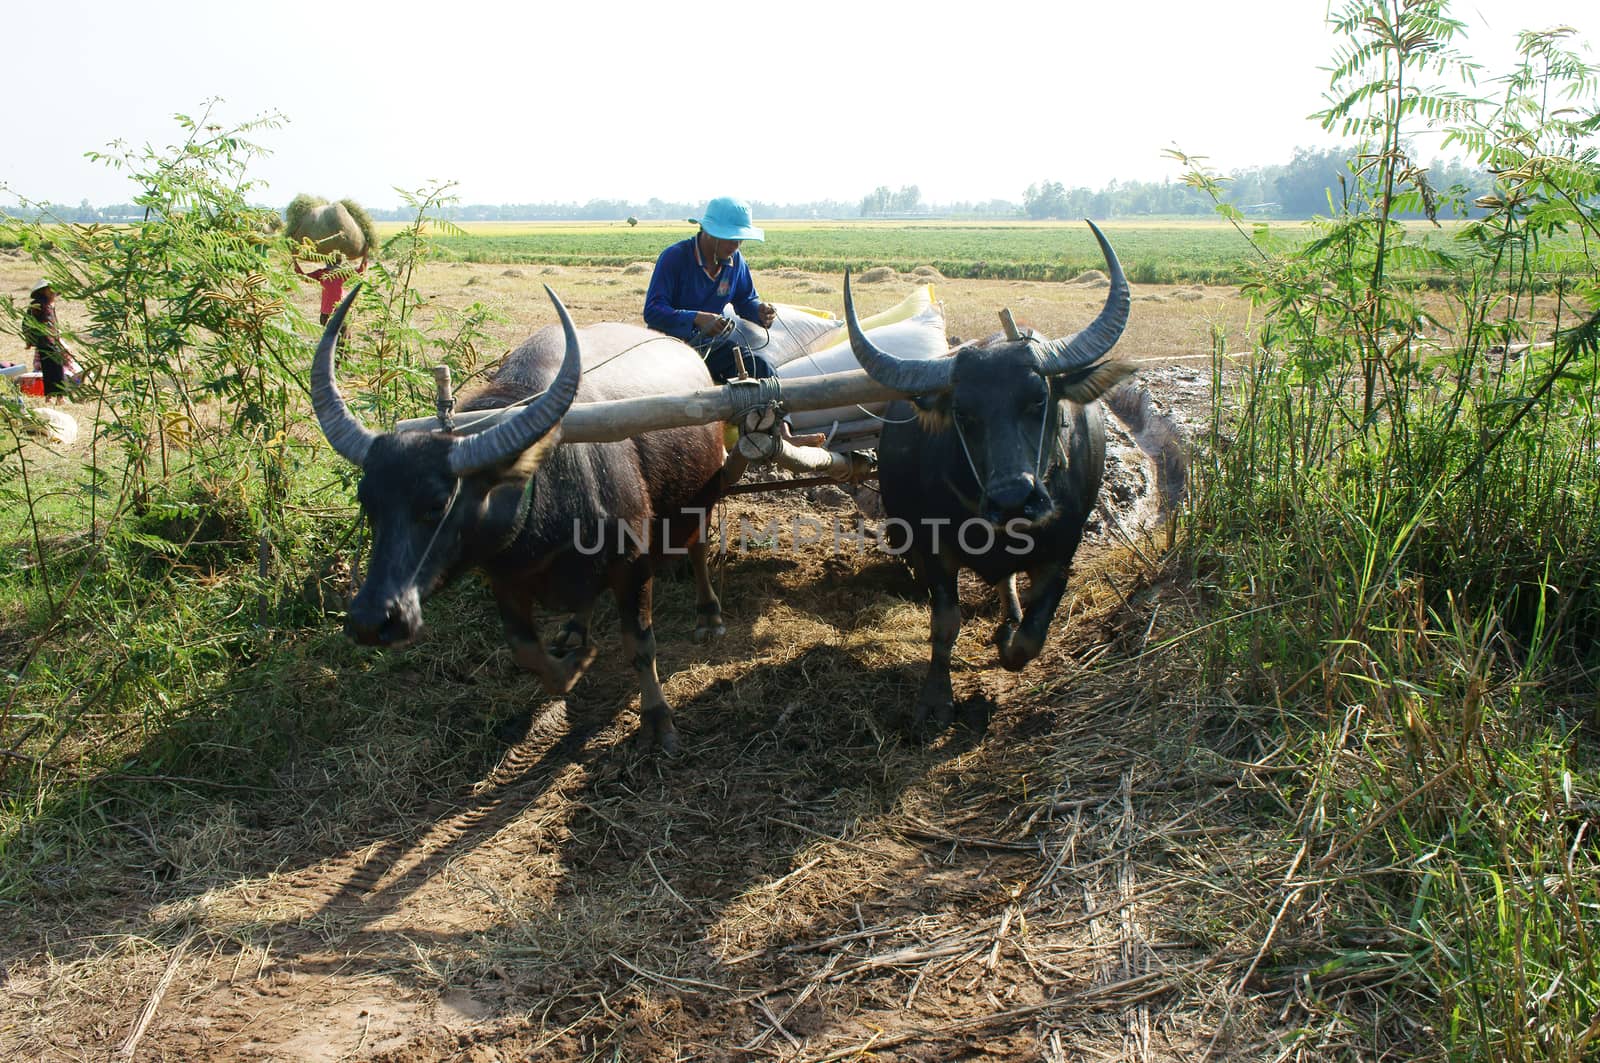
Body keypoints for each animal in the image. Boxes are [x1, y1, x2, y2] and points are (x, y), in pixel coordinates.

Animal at [312, 284, 726, 746]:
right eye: (368, 502)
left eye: (438, 504)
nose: (370, 620)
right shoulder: (505, 579)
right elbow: (524, 649)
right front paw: (573, 665)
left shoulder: (632, 565)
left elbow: (639, 644)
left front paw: (656, 717)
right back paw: (575, 630)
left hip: (700, 498)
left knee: (698, 549)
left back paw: (708, 613)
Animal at [844, 217, 1132, 730]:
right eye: (964, 412)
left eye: (1039, 399)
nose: (1014, 498)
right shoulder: (933, 546)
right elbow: (945, 623)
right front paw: (936, 700)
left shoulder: (1064, 549)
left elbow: (1035, 632)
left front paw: (1008, 642)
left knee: (1008, 584)